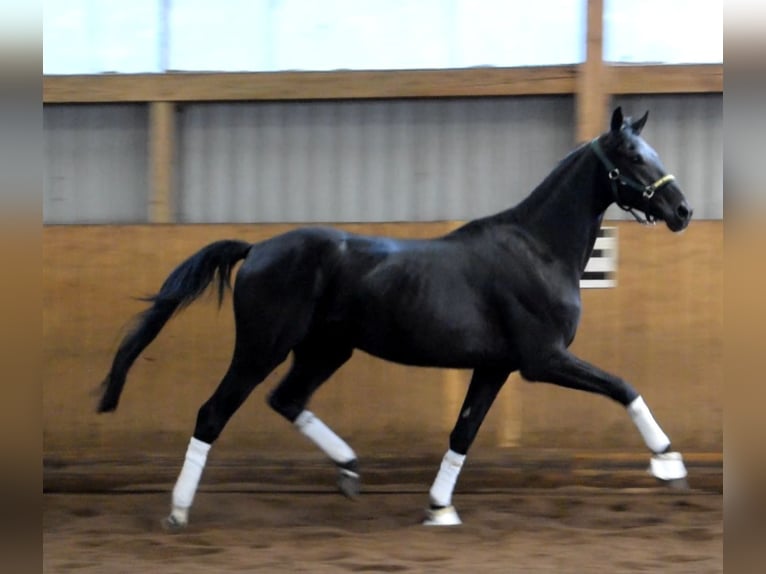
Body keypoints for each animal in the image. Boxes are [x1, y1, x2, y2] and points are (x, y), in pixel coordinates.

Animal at [97, 108, 696, 532]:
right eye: (633, 156)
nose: (683, 211)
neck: (537, 249)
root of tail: (259, 248)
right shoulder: (543, 359)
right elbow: (623, 386)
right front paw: (669, 463)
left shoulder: (496, 367)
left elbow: (463, 431)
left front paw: (439, 509)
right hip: (261, 348)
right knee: (213, 413)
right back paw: (178, 512)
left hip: (325, 350)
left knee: (287, 400)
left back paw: (349, 470)